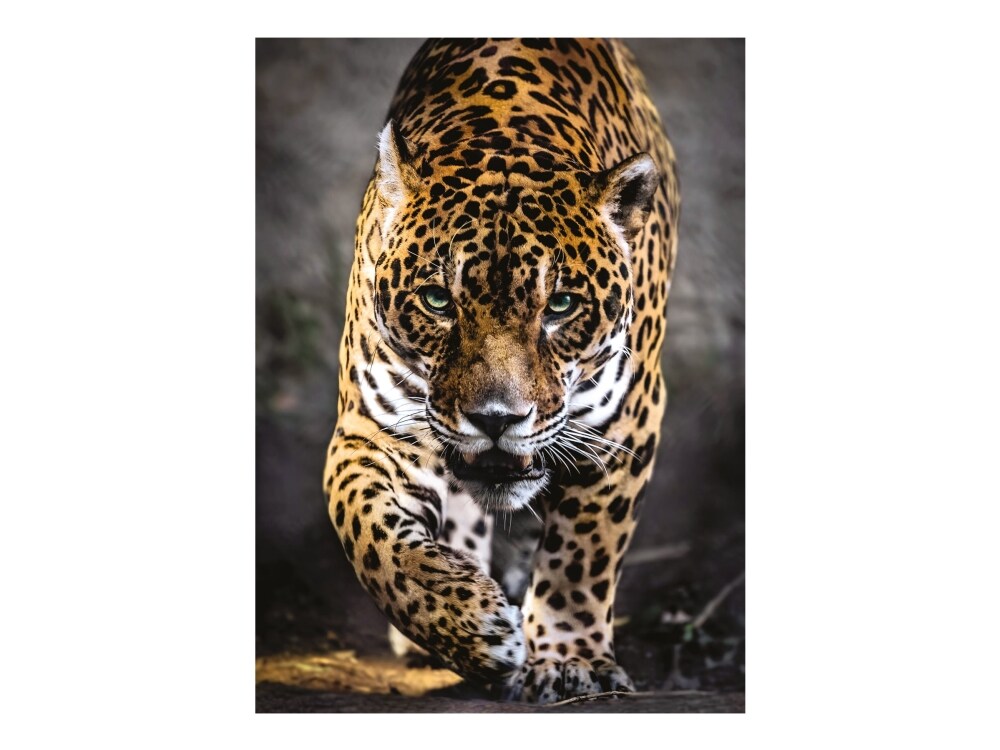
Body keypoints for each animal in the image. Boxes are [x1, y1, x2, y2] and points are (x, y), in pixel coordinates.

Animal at [323, 38, 679, 703]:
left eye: (560, 305)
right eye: (438, 300)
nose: (496, 419)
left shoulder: (624, 425)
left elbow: (583, 553)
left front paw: (569, 660)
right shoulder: (371, 428)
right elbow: (370, 535)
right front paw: (469, 626)